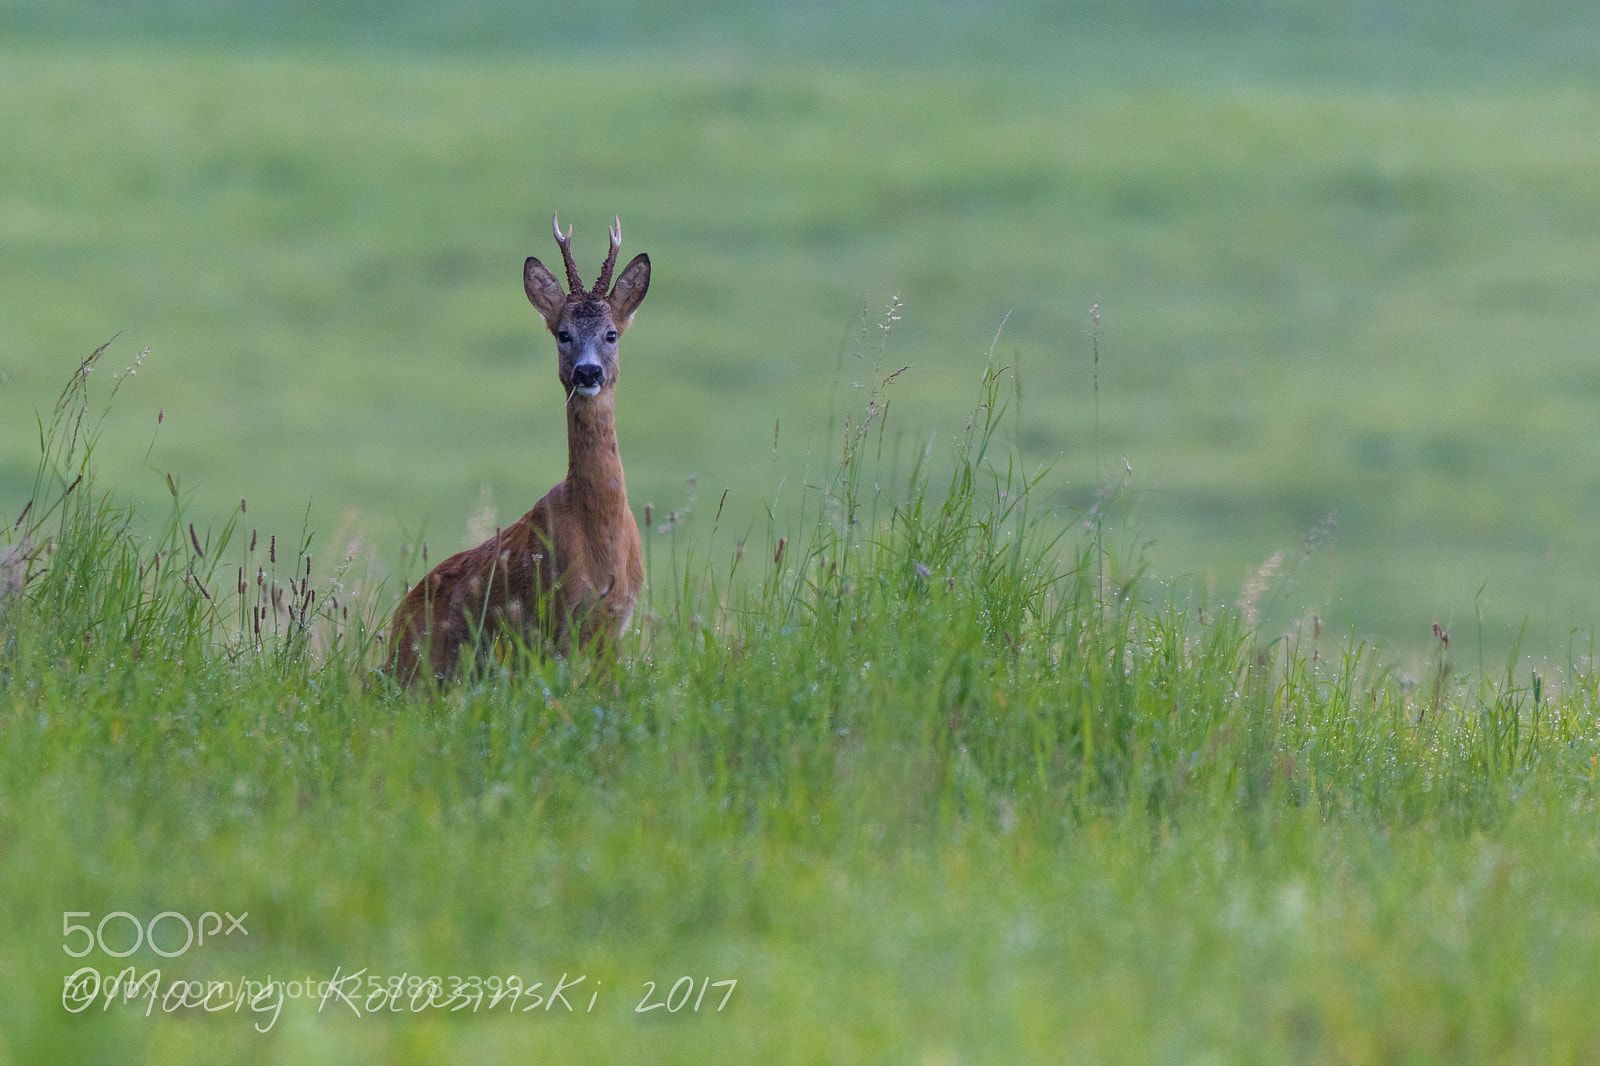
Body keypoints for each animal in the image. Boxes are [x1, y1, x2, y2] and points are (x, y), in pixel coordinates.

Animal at [386, 214, 650, 684]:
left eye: (611, 334)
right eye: (563, 334)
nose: (587, 372)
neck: (601, 536)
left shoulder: (614, 624)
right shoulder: (554, 617)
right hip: (425, 668)